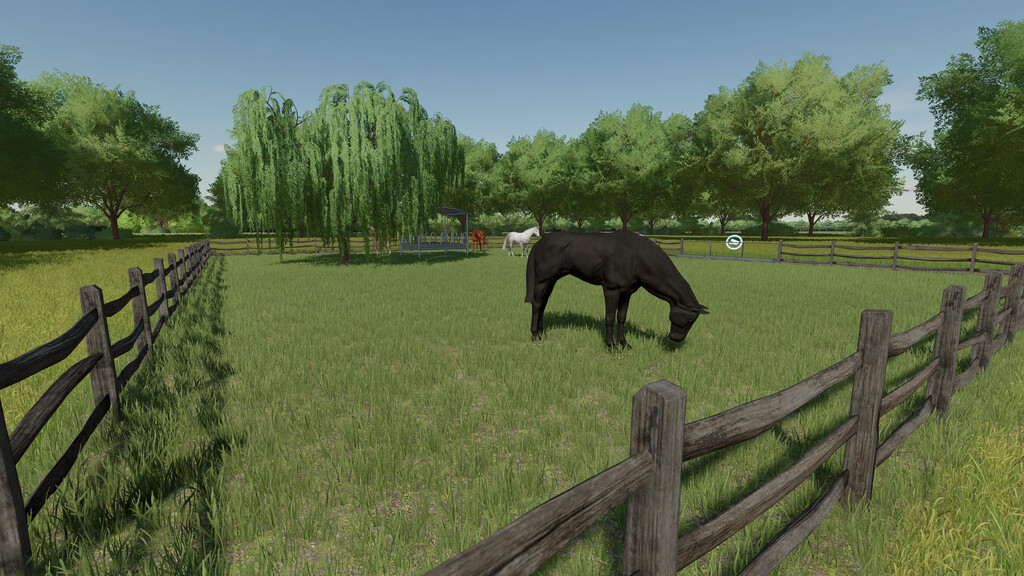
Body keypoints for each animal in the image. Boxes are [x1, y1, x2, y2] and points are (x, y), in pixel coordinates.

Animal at [525, 230, 709, 350]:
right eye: (690, 319)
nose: (675, 339)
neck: (637, 257)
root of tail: (540, 242)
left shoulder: (626, 293)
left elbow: (621, 318)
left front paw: (624, 344)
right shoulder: (611, 290)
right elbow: (610, 318)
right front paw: (611, 346)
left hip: (551, 281)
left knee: (543, 305)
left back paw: (542, 334)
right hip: (542, 280)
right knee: (537, 305)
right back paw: (534, 336)